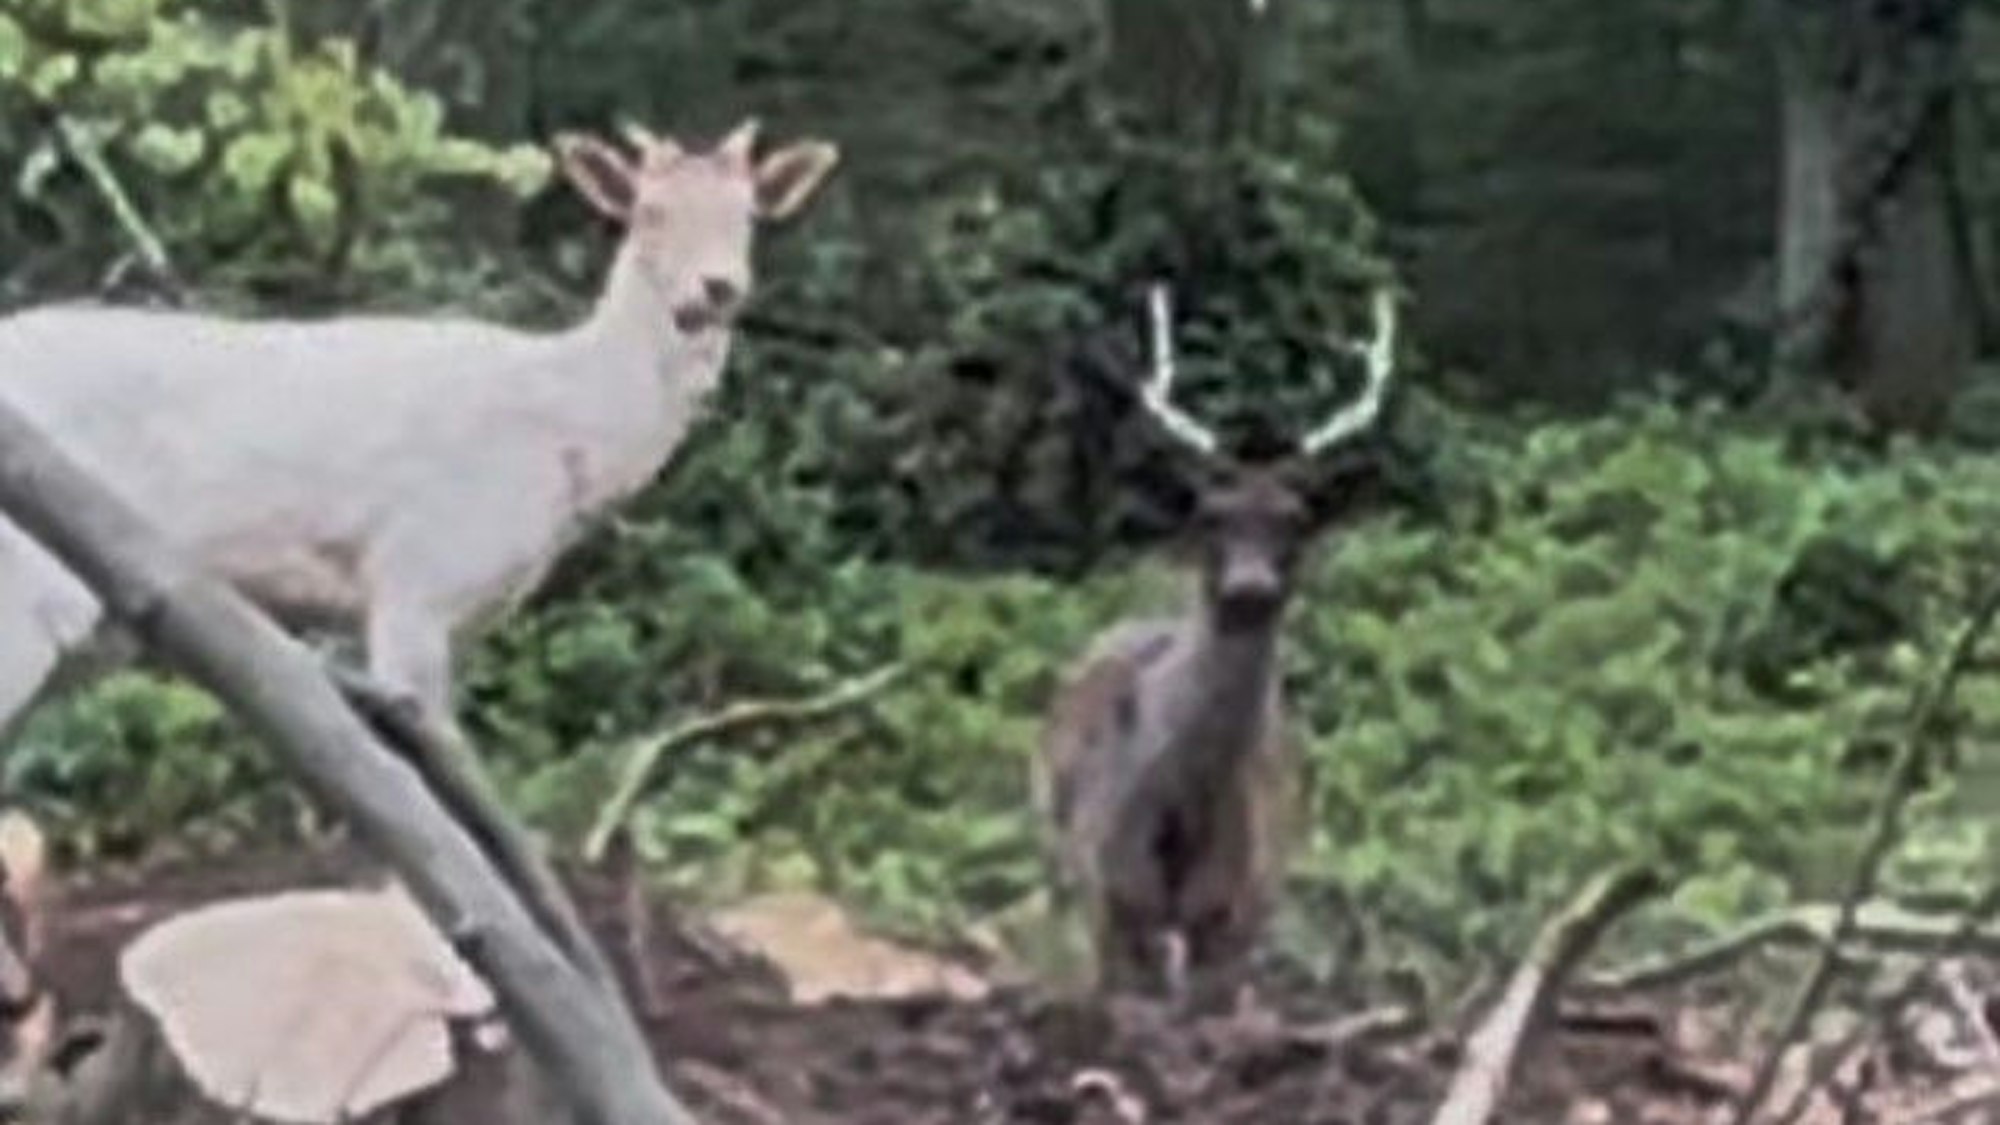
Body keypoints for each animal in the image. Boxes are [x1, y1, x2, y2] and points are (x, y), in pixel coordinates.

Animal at [0, 117, 840, 749]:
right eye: (648, 211)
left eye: (750, 217)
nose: (718, 288)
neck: (568, 441)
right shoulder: (419, 577)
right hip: (26, 584)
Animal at [1034, 282, 1398, 1006]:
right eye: (1210, 516)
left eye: (1297, 520)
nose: (1248, 587)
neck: (1183, 808)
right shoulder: (1111, 891)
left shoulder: (1236, 912)